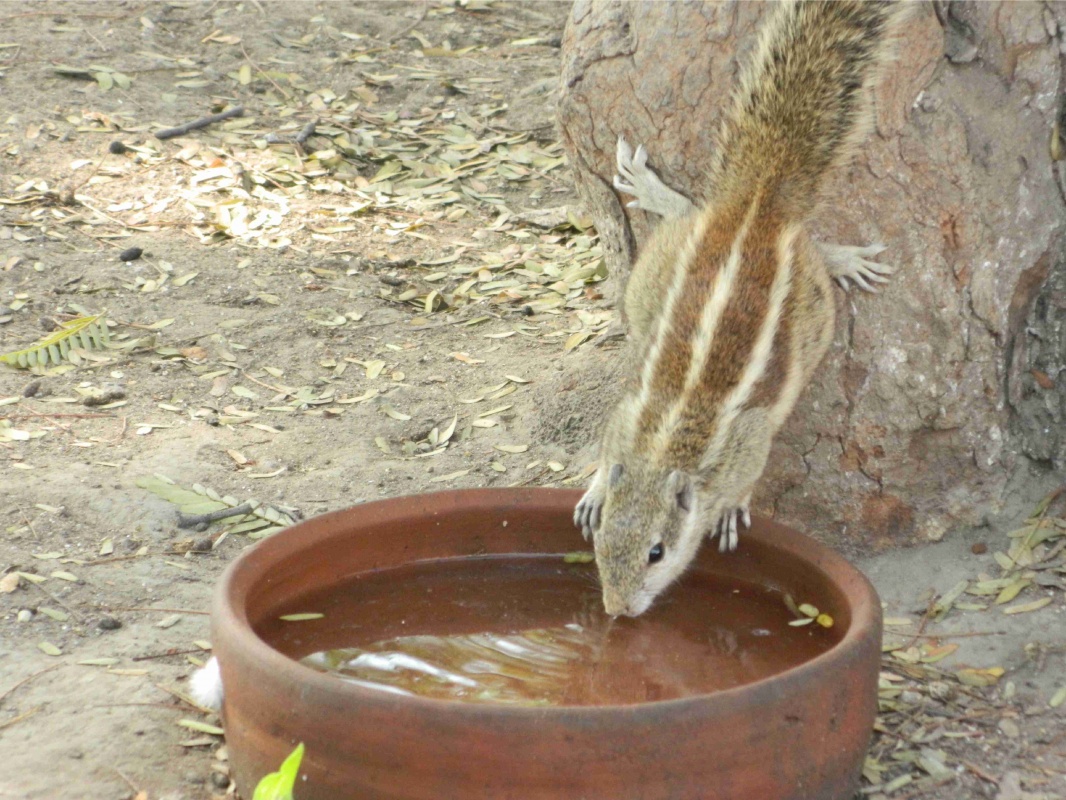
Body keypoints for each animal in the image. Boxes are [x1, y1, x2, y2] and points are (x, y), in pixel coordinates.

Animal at [575, 0, 909, 618]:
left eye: (657, 552)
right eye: (607, 534)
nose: (616, 610)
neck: (668, 444)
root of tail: (756, 204)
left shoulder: (748, 440)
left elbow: (750, 470)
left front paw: (731, 509)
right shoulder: (626, 417)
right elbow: (608, 450)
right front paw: (592, 490)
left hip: (812, 306)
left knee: (812, 247)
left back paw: (845, 259)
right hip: (666, 257)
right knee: (687, 207)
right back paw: (650, 187)